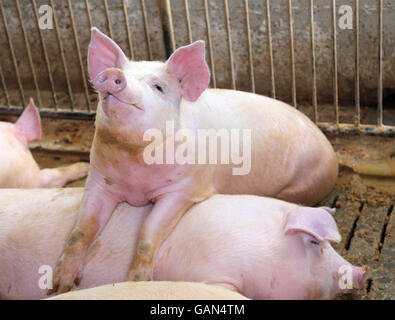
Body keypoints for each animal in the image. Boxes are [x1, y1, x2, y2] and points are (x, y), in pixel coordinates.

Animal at [51, 28, 338, 294]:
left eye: (158, 87)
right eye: (120, 72)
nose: (112, 76)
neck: (136, 176)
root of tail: (331, 154)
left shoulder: (184, 189)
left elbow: (149, 231)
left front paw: (137, 280)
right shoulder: (99, 180)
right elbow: (81, 229)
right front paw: (60, 284)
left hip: (304, 184)